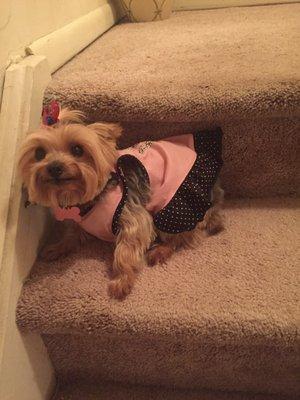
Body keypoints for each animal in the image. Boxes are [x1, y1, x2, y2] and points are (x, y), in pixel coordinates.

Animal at [17, 104, 223, 298]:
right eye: (39, 153)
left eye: (77, 149)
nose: (54, 167)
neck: (89, 199)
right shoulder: (78, 221)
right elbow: (71, 233)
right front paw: (58, 247)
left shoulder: (133, 219)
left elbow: (124, 252)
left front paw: (121, 282)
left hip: (174, 205)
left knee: (183, 235)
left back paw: (161, 250)